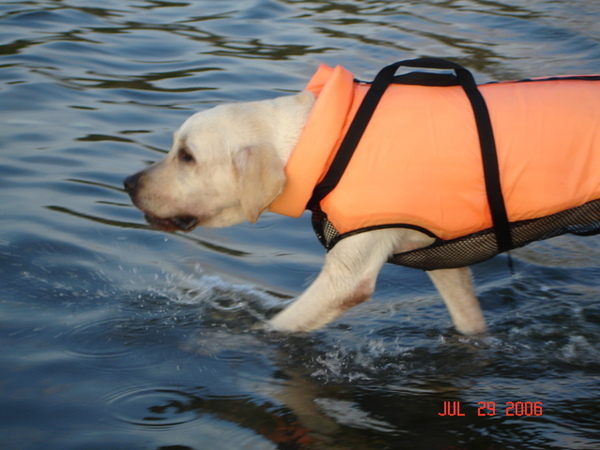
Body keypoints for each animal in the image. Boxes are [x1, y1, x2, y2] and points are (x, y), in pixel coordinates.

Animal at [123, 90, 488, 334]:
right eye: (175, 147)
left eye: (187, 156)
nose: (127, 182)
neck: (329, 144)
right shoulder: (445, 262)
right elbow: (469, 320)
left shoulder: (346, 280)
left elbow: (279, 326)